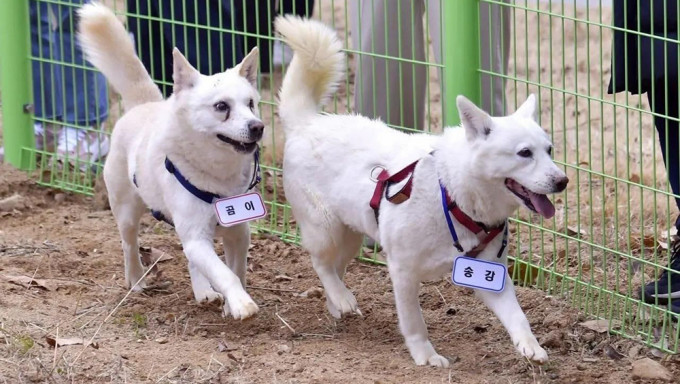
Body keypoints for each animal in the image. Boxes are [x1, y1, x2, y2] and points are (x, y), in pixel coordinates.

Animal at [78, 4, 262, 320]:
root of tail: (144, 104)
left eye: (250, 104)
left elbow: (236, 270)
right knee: (129, 245)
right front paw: (241, 303)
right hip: (127, 212)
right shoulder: (197, 237)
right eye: (221, 107)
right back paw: (136, 279)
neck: (218, 175)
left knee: (190, 259)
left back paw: (202, 291)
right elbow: (225, 273)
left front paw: (230, 303)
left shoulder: (238, 232)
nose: (258, 126)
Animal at [276, 16, 568, 368]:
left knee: (335, 267)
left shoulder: (489, 272)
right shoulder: (403, 270)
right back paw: (341, 297)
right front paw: (426, 355)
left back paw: (338, 301)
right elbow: (414, 321)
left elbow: (517, 316)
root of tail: (306, 123)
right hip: (325, 228)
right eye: (524, 153)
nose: (563, 181)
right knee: (321, 263)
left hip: (350, 235)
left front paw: (530, 346)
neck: (454, 195)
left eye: (549, 150)